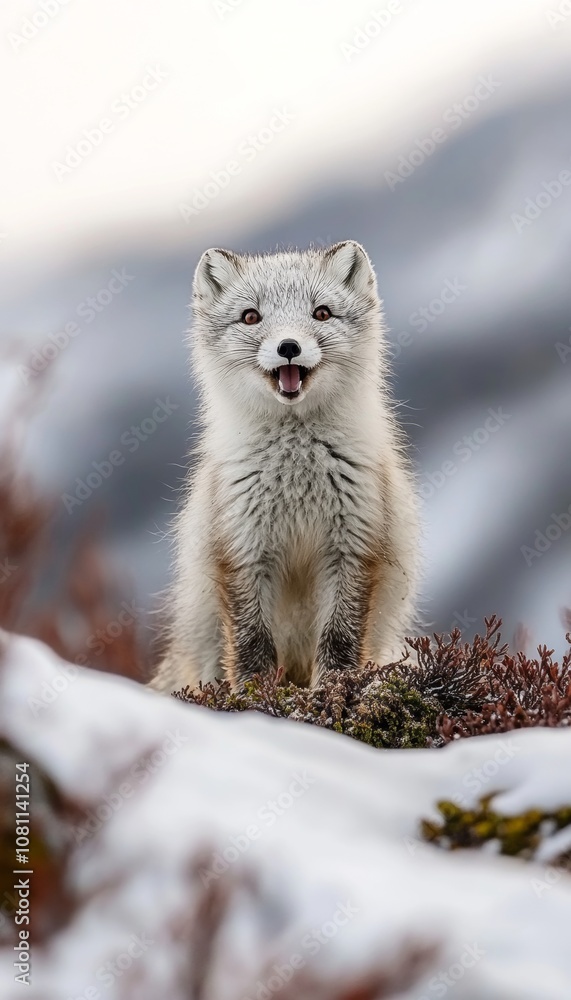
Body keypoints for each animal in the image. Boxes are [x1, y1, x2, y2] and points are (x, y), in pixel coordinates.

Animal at [150, 243, 422, 696]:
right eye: (250, 317)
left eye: (322, 313)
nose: (289, 346)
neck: (297, 473)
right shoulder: (244, 550)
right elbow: (252, 641)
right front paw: (255, 695)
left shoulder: (352, 548)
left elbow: (339, 637)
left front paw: (334, 688)